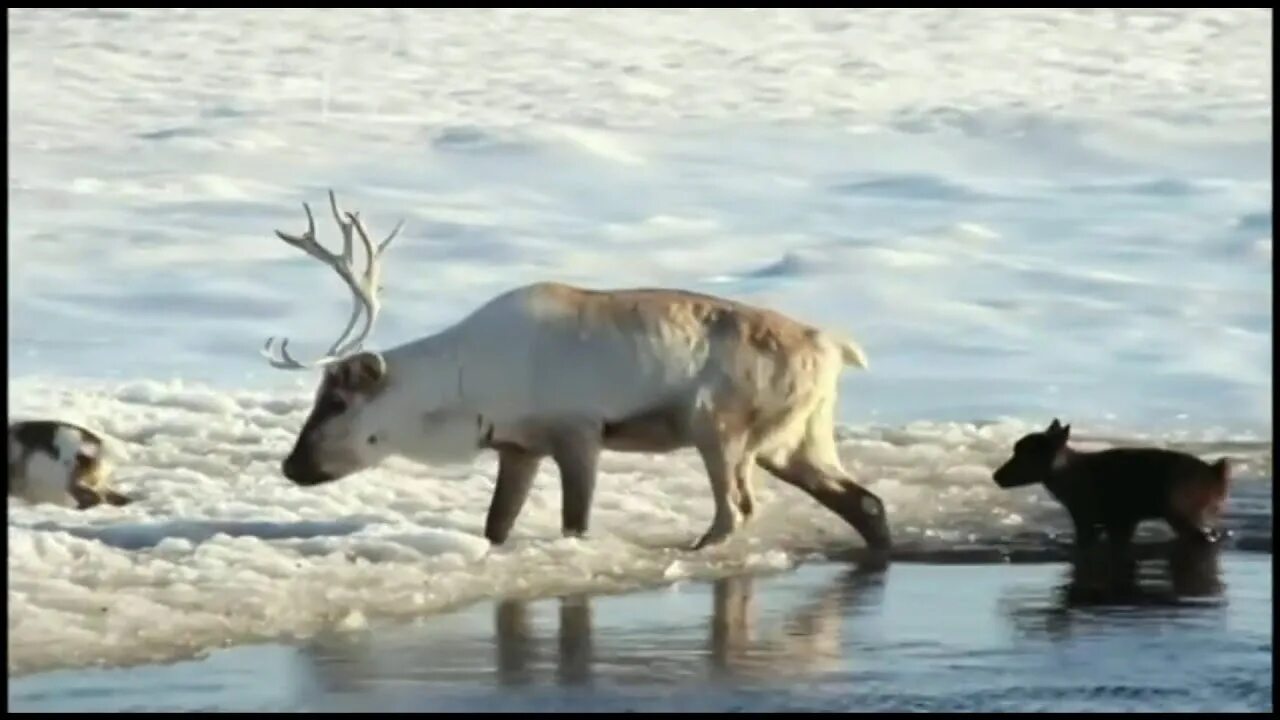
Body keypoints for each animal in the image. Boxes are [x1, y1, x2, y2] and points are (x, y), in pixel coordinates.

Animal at [988, 417, 1228, 545]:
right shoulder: (1119, 521)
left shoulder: (1087, 518)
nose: (996, 476)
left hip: (1179, 511)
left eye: (1025, 454)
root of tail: (1216, 473)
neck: (1067, 477)